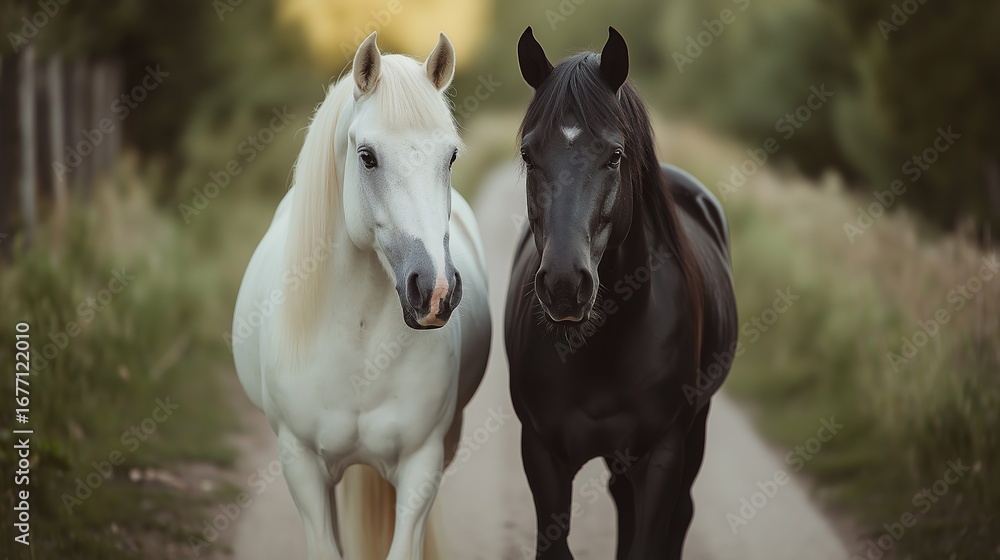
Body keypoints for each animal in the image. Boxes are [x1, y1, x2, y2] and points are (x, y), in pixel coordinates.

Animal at [232, 32, 492, 560]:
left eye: (451, 156)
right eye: (367, 155)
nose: (434, 291)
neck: (357, 337)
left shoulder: (421, 465)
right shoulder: (301, 466)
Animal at [504, 27, 738, 559]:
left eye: (613, 155)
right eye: (529, 154)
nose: (564, 285)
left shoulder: (663, 454)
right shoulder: (541, 453)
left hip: (695, 428)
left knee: (679, 514)